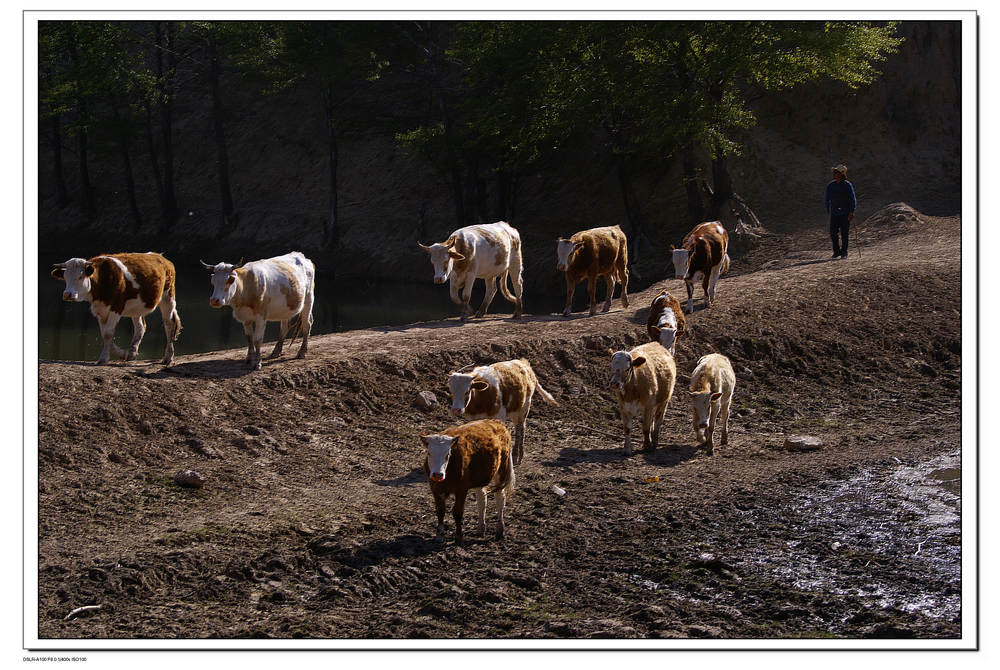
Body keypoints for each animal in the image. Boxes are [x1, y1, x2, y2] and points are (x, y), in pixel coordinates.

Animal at [50, 252, 182, 368]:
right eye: (65, 277)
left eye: (80, 277)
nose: (67, 294)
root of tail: (161, 257)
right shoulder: (100, 310)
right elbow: (105, 334)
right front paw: (122, 354)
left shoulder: (116, 307)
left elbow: (108, 333)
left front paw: (103, 358)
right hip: (138, 308)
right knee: (140, 326)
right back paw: (132, 352)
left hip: (168, 297)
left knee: (169, 324)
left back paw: (168, 357)